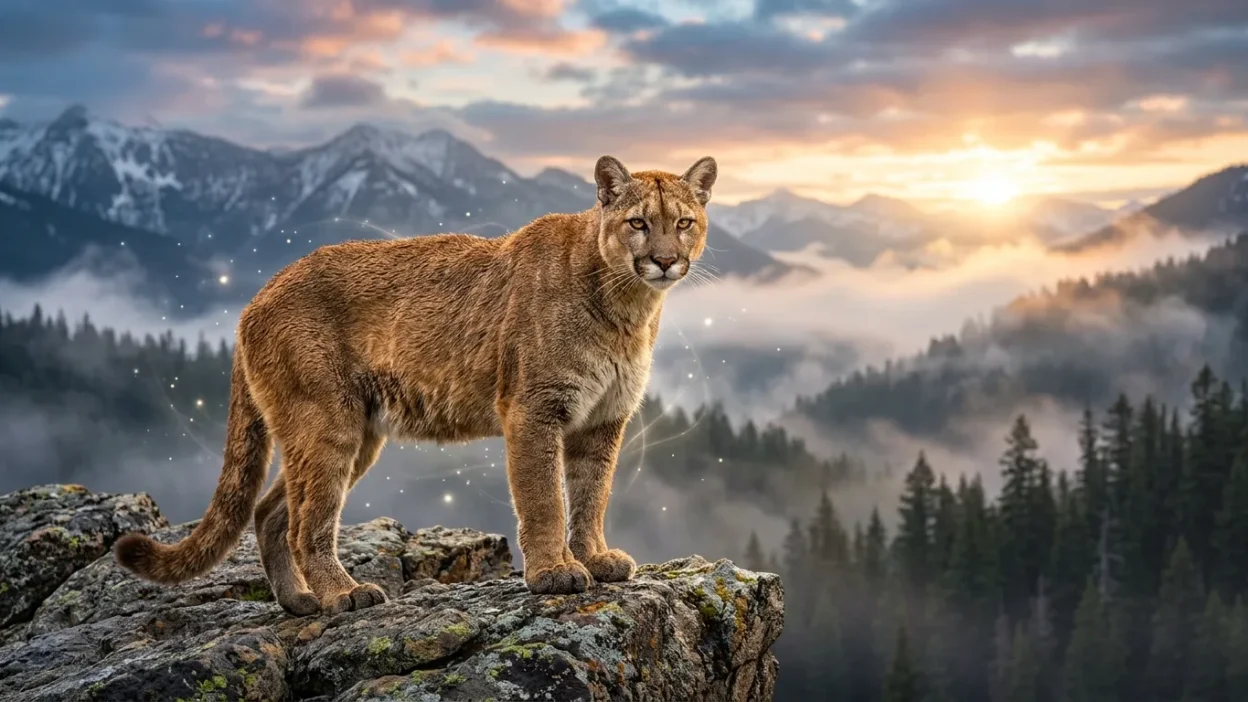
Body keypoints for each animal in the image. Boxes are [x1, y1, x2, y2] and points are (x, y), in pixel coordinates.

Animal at [113, 154, 718, 615]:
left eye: (684, 222)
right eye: (638, 223)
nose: (665, 260)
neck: (627, 308)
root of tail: (252, 302)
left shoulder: (603, 419)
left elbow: (592, 494)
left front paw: (593, 557)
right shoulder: (534, 409)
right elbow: (545, 496)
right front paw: (554, 572)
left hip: (350, 433)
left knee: (270, 511)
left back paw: (300, 602)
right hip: (327, 422)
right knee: (308, 522)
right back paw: (343, 594)